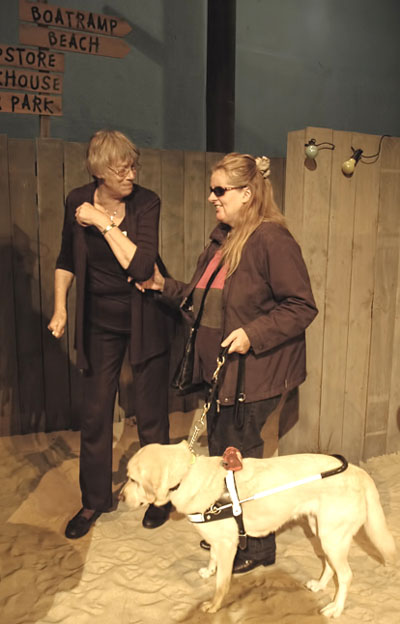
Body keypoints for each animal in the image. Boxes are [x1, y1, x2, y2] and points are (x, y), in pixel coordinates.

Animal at [122, 442, 396, 616]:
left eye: (133, 479)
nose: (122, 497)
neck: (187, 475)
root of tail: (358, 471)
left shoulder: (228, 545)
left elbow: (222, 583)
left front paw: (214, 605)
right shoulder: (217, 541)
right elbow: (211, 559)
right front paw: (208, 571)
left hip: (333, 538)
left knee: (346, 575)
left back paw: (336, 609)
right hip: (321, 532)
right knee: (330, 566)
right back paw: (319, 586)